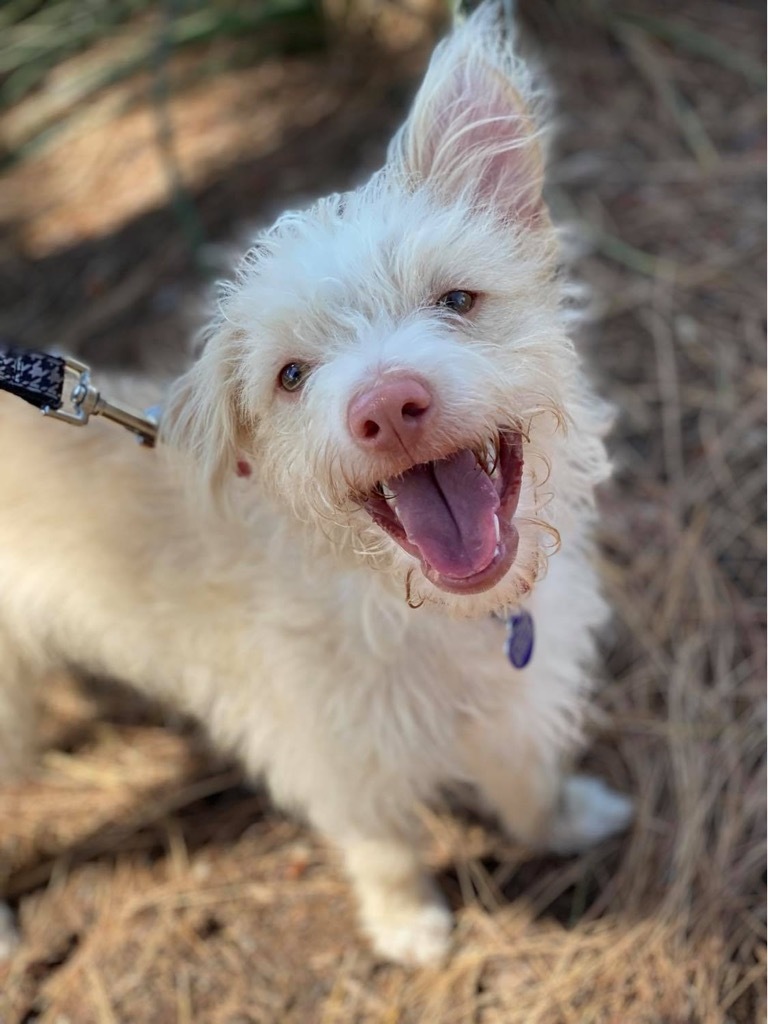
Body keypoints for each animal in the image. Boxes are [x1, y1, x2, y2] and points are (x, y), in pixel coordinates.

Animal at [0, 6, 630, 966]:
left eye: (456, 299)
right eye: (292, 375)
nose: (388, 407)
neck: (443, 619)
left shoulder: (519, 698)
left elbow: (530, 780)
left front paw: (567, 824)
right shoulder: (334, 753)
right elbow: (385, 849)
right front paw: (412, 930)